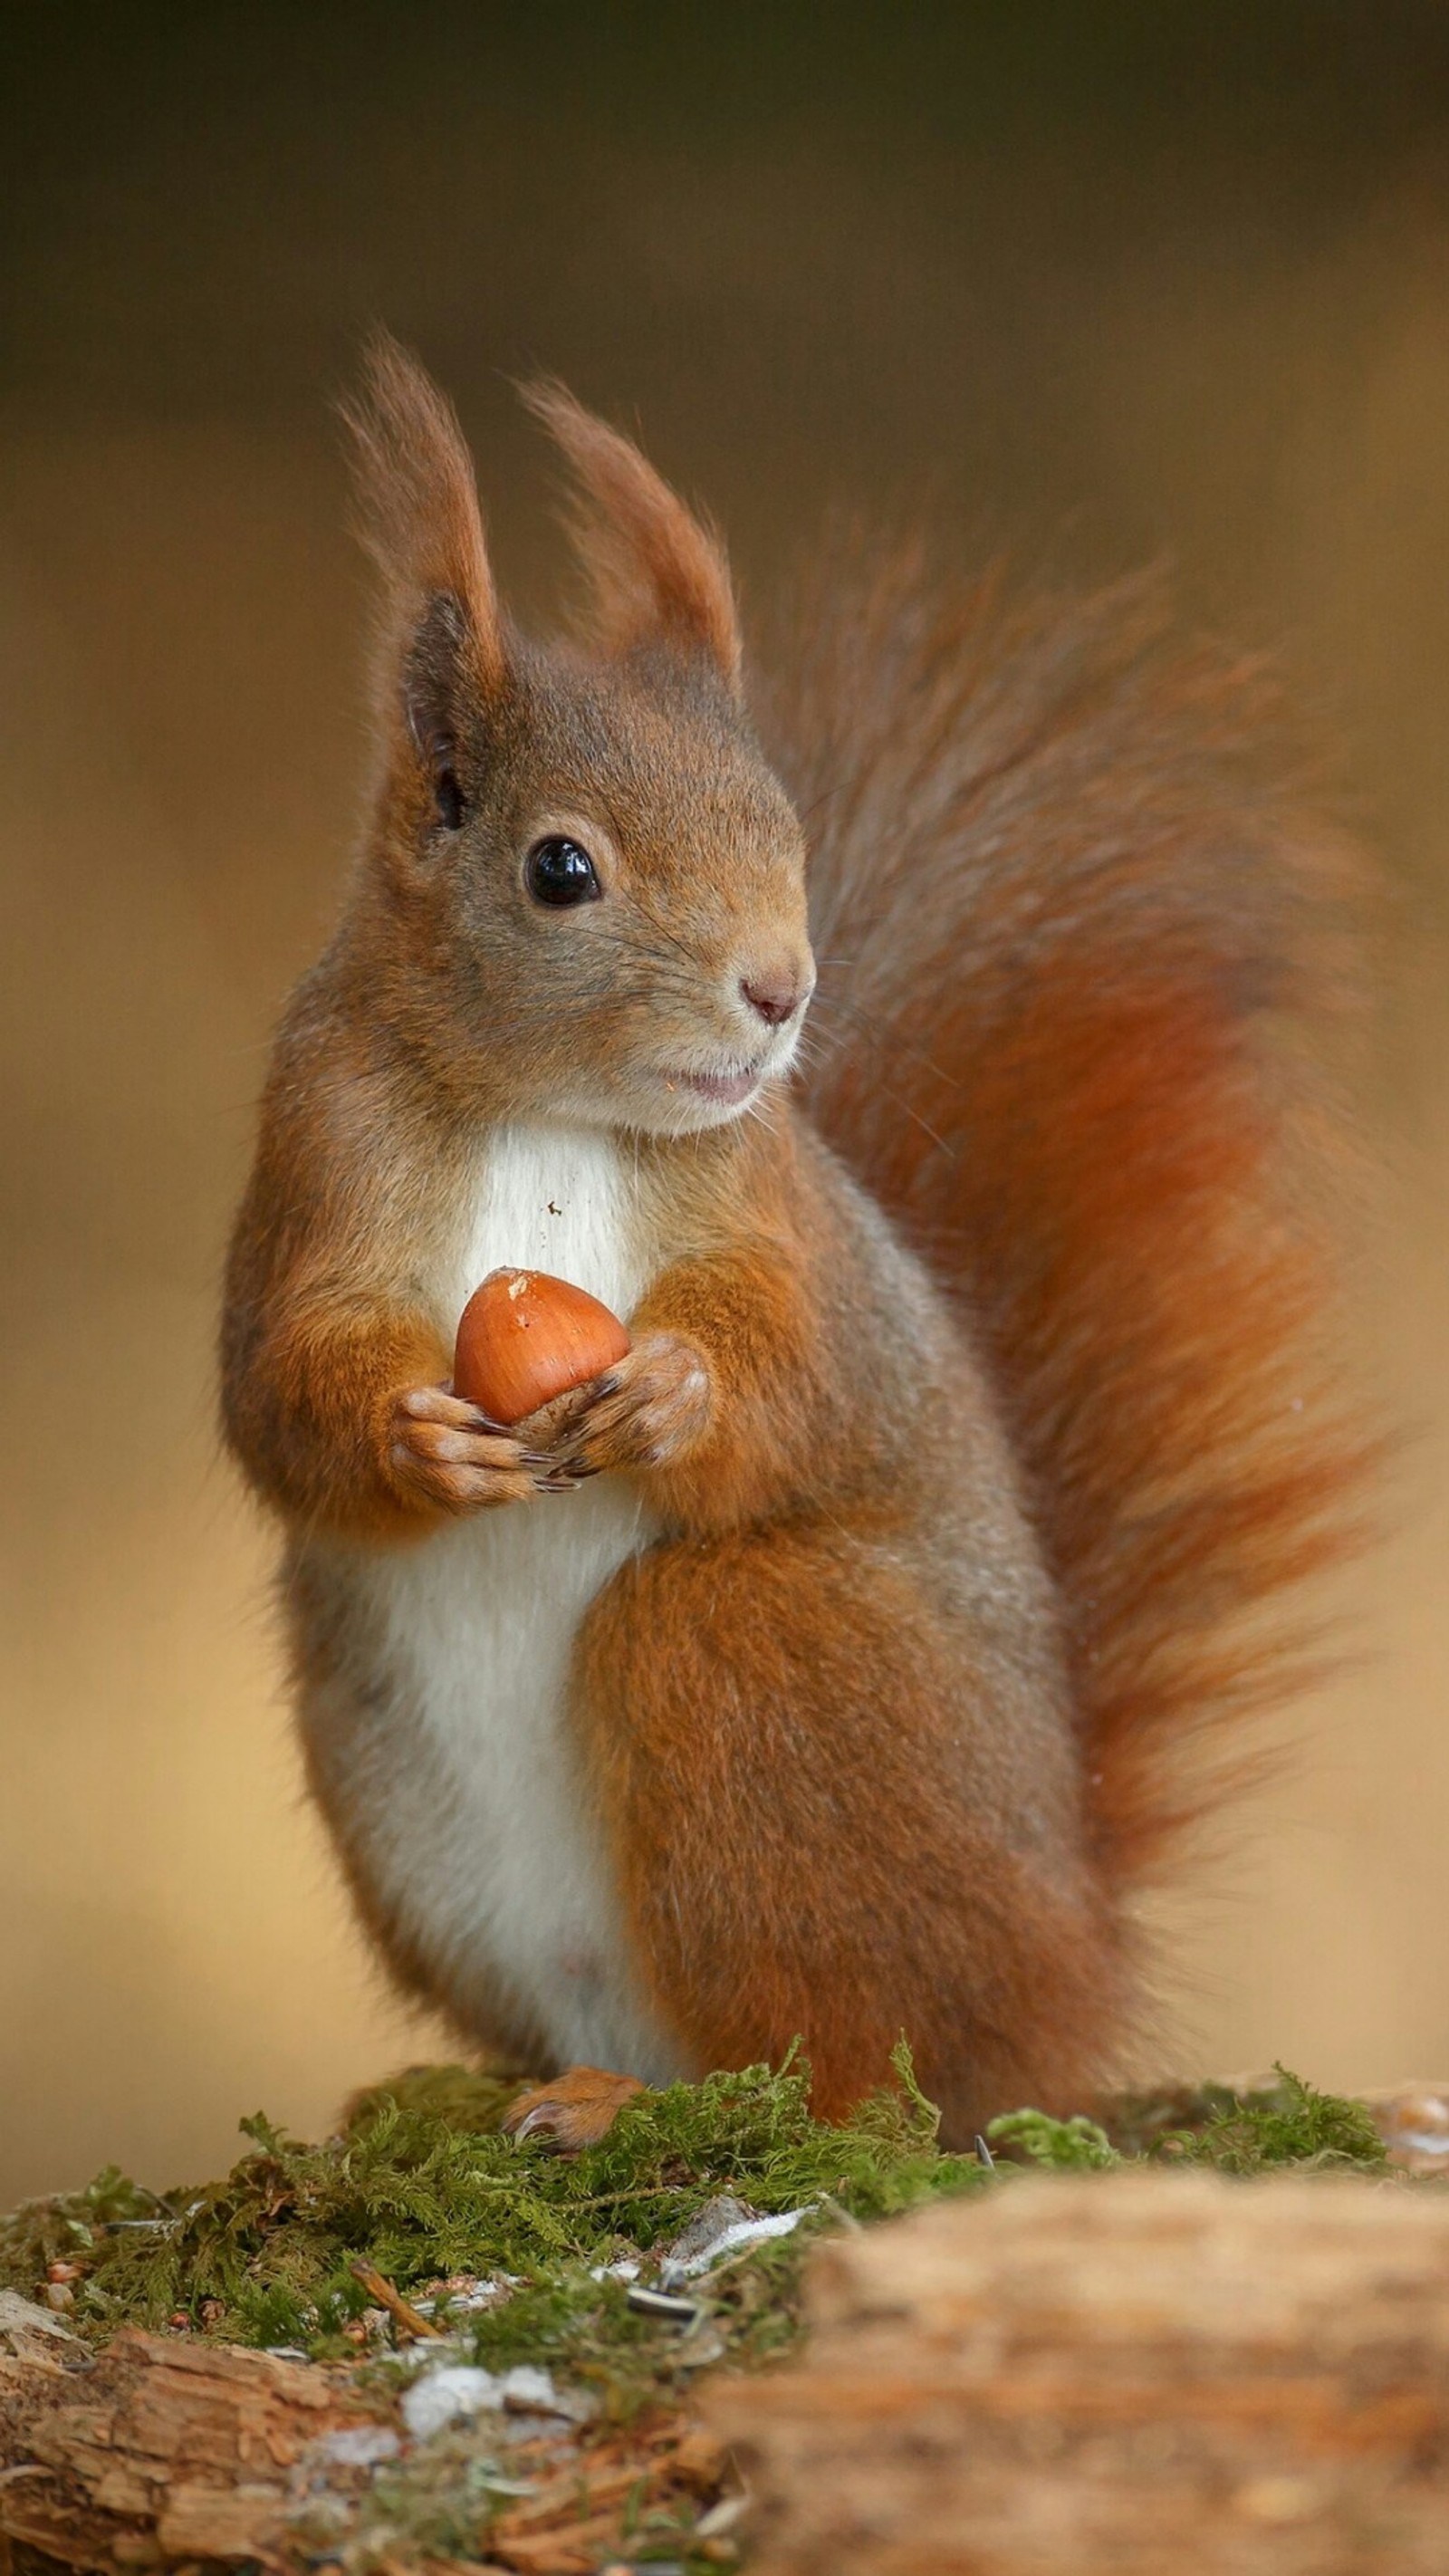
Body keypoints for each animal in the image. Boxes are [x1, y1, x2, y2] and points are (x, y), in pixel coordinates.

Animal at [221, 342, 1379, 2153]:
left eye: (785, 827)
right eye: (561, 867)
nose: (782, 991)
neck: (546, 1111)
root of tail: (1065, 1974)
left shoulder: (777, 1212)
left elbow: (806, 1367)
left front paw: (679, 1395)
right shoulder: (314, 1157)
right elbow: (278, 1386)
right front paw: (414, 1439)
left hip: (766, 1660)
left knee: (843, 2063)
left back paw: (677, 2104)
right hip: (395, 1793)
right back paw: (556, 2090)